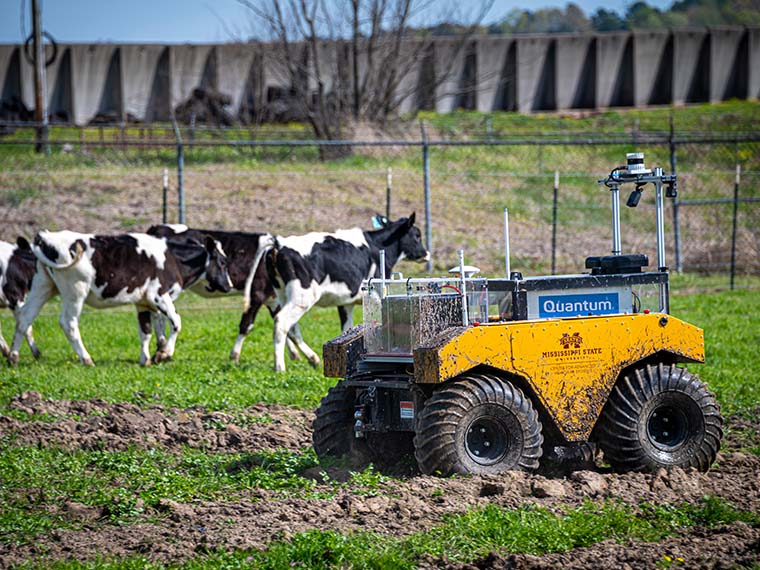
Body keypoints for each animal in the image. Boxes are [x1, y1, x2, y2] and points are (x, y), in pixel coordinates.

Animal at [6, 230, 232, 366]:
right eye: (222, 262)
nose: (229, 286)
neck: (173, 259)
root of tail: (46, 237)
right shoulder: (159, 296)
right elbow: (176, 322)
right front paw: (164, 353)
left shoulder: (143, 302)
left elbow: (145, 331)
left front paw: (145, 359)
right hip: (75, 291)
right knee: (68, 323)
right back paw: (86, 359)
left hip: (43, 286)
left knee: (24, 318)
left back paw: (13, 358)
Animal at [249, 211, 428, 370]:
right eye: (417, 235)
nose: (426, 254)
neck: (377, 246)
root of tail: (279, 243)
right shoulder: (377, 295)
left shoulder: (346, 303)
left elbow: (347, 328)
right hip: (303, 297)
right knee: (282, 322)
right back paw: (280, 367)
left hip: (283, 294)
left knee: (291, 326)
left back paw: (311, 358)